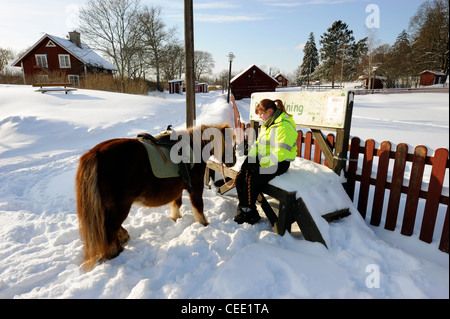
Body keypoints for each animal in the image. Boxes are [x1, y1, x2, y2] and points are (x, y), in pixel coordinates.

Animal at [75, 124, 234, 272]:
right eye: (229, 142)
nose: (233, 162)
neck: (194, 147)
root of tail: (94, 154)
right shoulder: (195, 186)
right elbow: (198, 206)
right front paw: (203, 224)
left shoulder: (177, 189)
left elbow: (176, 204)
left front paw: (176, 219)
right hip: (120, 207)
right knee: (110, 229)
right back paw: (117, 251)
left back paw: (123, 238)